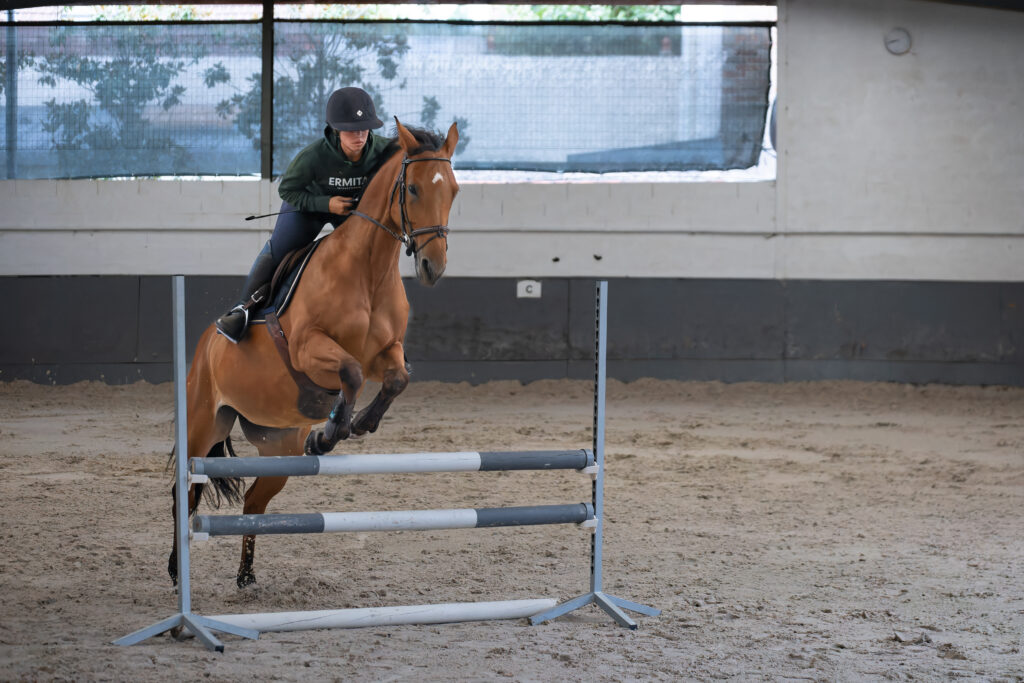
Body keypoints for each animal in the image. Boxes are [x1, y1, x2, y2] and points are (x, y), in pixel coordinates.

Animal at [172, 118, 460, 589]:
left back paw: (246, 575)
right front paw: (331, 431)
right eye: (414, 189)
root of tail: (202, 349)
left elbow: (397, 377)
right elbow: (351, 373)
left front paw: (356, 424)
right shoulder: (309, 349)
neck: (368, 272)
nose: (433, 268)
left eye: (453, 190)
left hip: (278, 446)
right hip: (202, 426)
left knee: (254, 500)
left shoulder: (385, 352)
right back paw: (176, 573)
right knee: (186, 495)